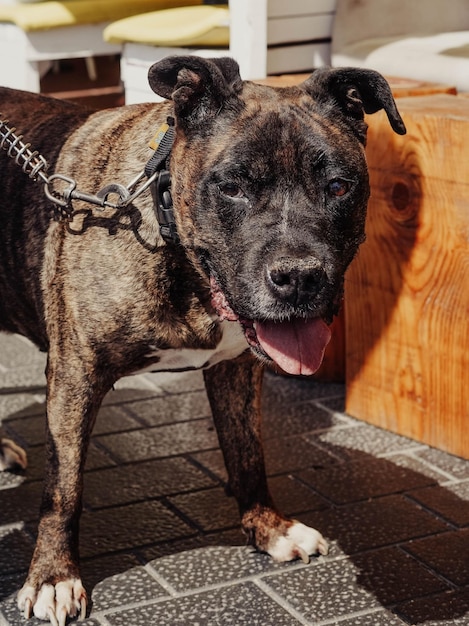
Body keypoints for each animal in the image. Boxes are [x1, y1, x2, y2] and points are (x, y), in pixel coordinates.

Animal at [0, 56, 402, 620]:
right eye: (231, 186)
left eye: (339, 187)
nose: (300, 278)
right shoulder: (74, 379)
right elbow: (64, 488)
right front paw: (54, 578)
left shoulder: (237, 368)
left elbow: (247, 452)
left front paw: (270, 528)